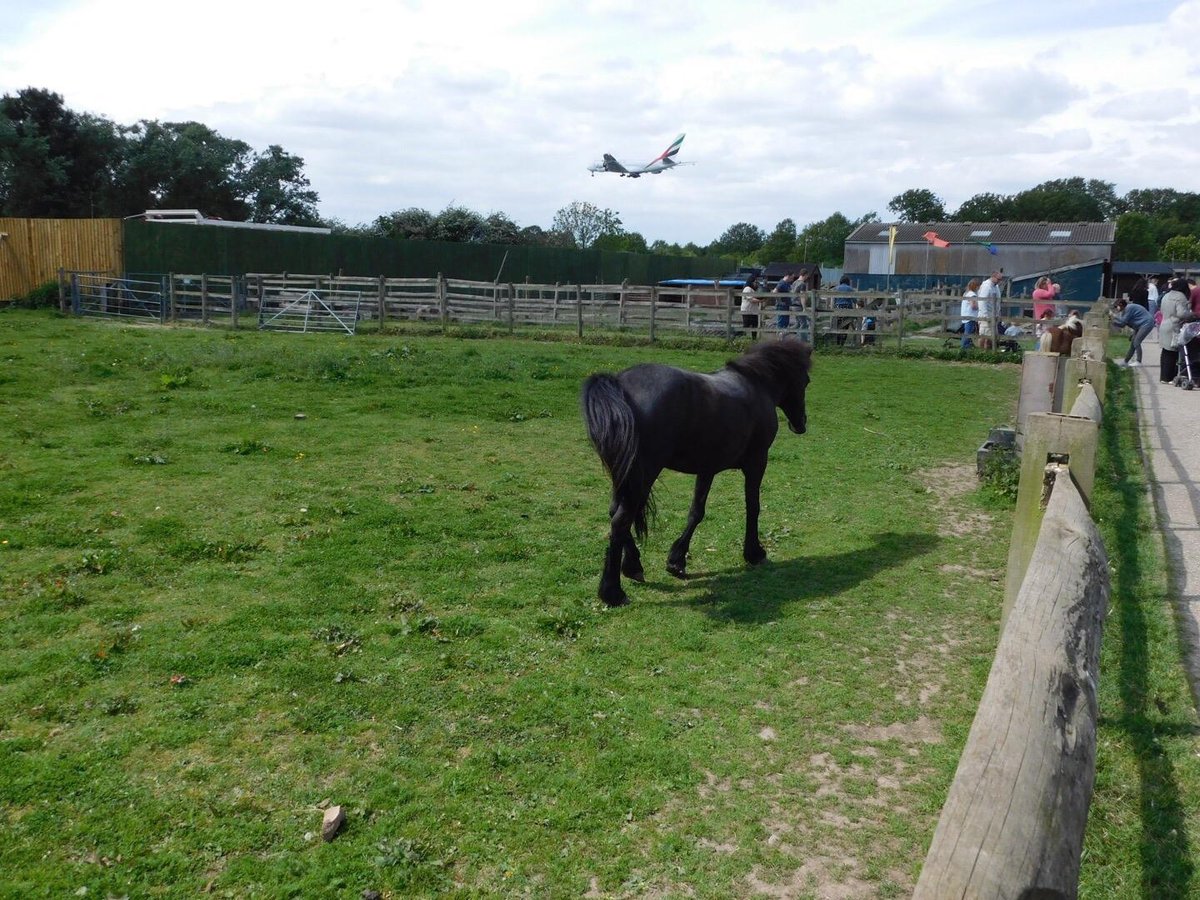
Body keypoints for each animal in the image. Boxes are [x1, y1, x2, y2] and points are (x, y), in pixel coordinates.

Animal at [580, 340, 816, 609]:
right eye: (806, 381)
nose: (800, 424)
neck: (756, 384)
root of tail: (619, 385)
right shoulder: (757, 462)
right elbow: (753, 507)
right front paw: (754, 553)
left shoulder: (707, 468)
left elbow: (696, 512)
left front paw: (676, 560)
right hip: (643, 474)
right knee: (620, 520)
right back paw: (612, 591)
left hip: (625, 475)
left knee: (615, 513)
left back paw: (633, 566)